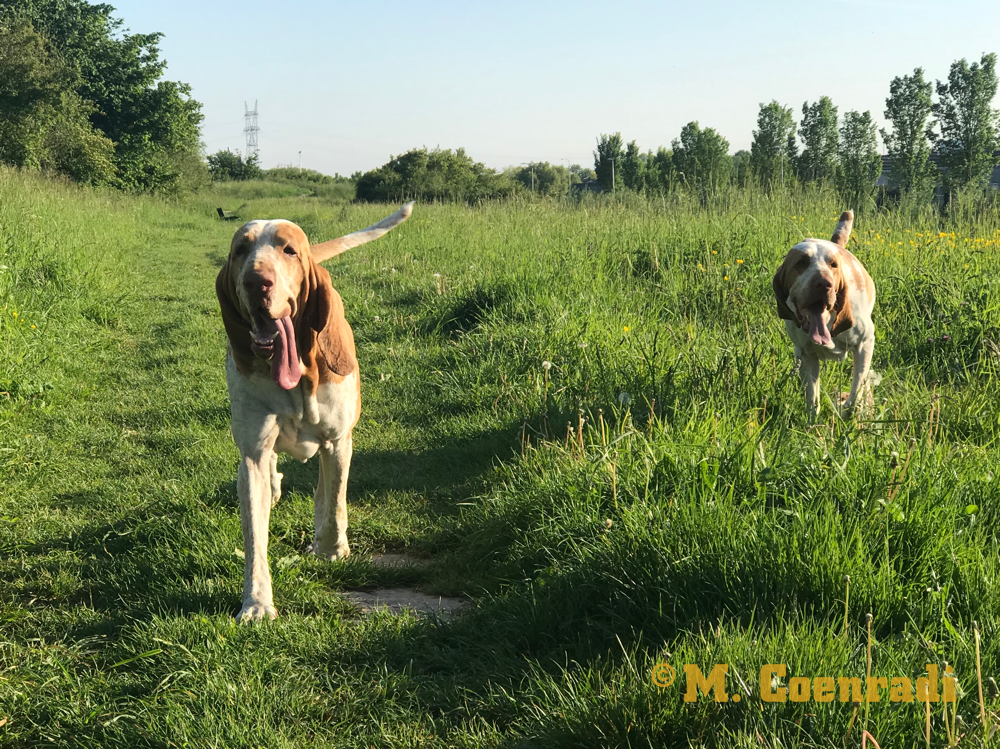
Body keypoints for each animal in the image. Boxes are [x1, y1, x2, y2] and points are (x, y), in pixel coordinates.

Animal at [217, 203, 412, 620]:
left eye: (288, 250)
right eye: (240, 250)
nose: (257, 282)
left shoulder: (338, 442)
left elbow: (335, 503)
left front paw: (330, 549)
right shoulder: (253, 455)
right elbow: (255, 537)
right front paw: (257, 604)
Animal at [772, 210, 876, 420]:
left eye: (833, 265)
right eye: (801, 262)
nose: (824, 283)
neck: (827, 323)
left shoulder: (865, 344)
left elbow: (857, 389)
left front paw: (849, 411)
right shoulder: (807, 356)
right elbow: (813, 399)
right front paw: (812, 425)